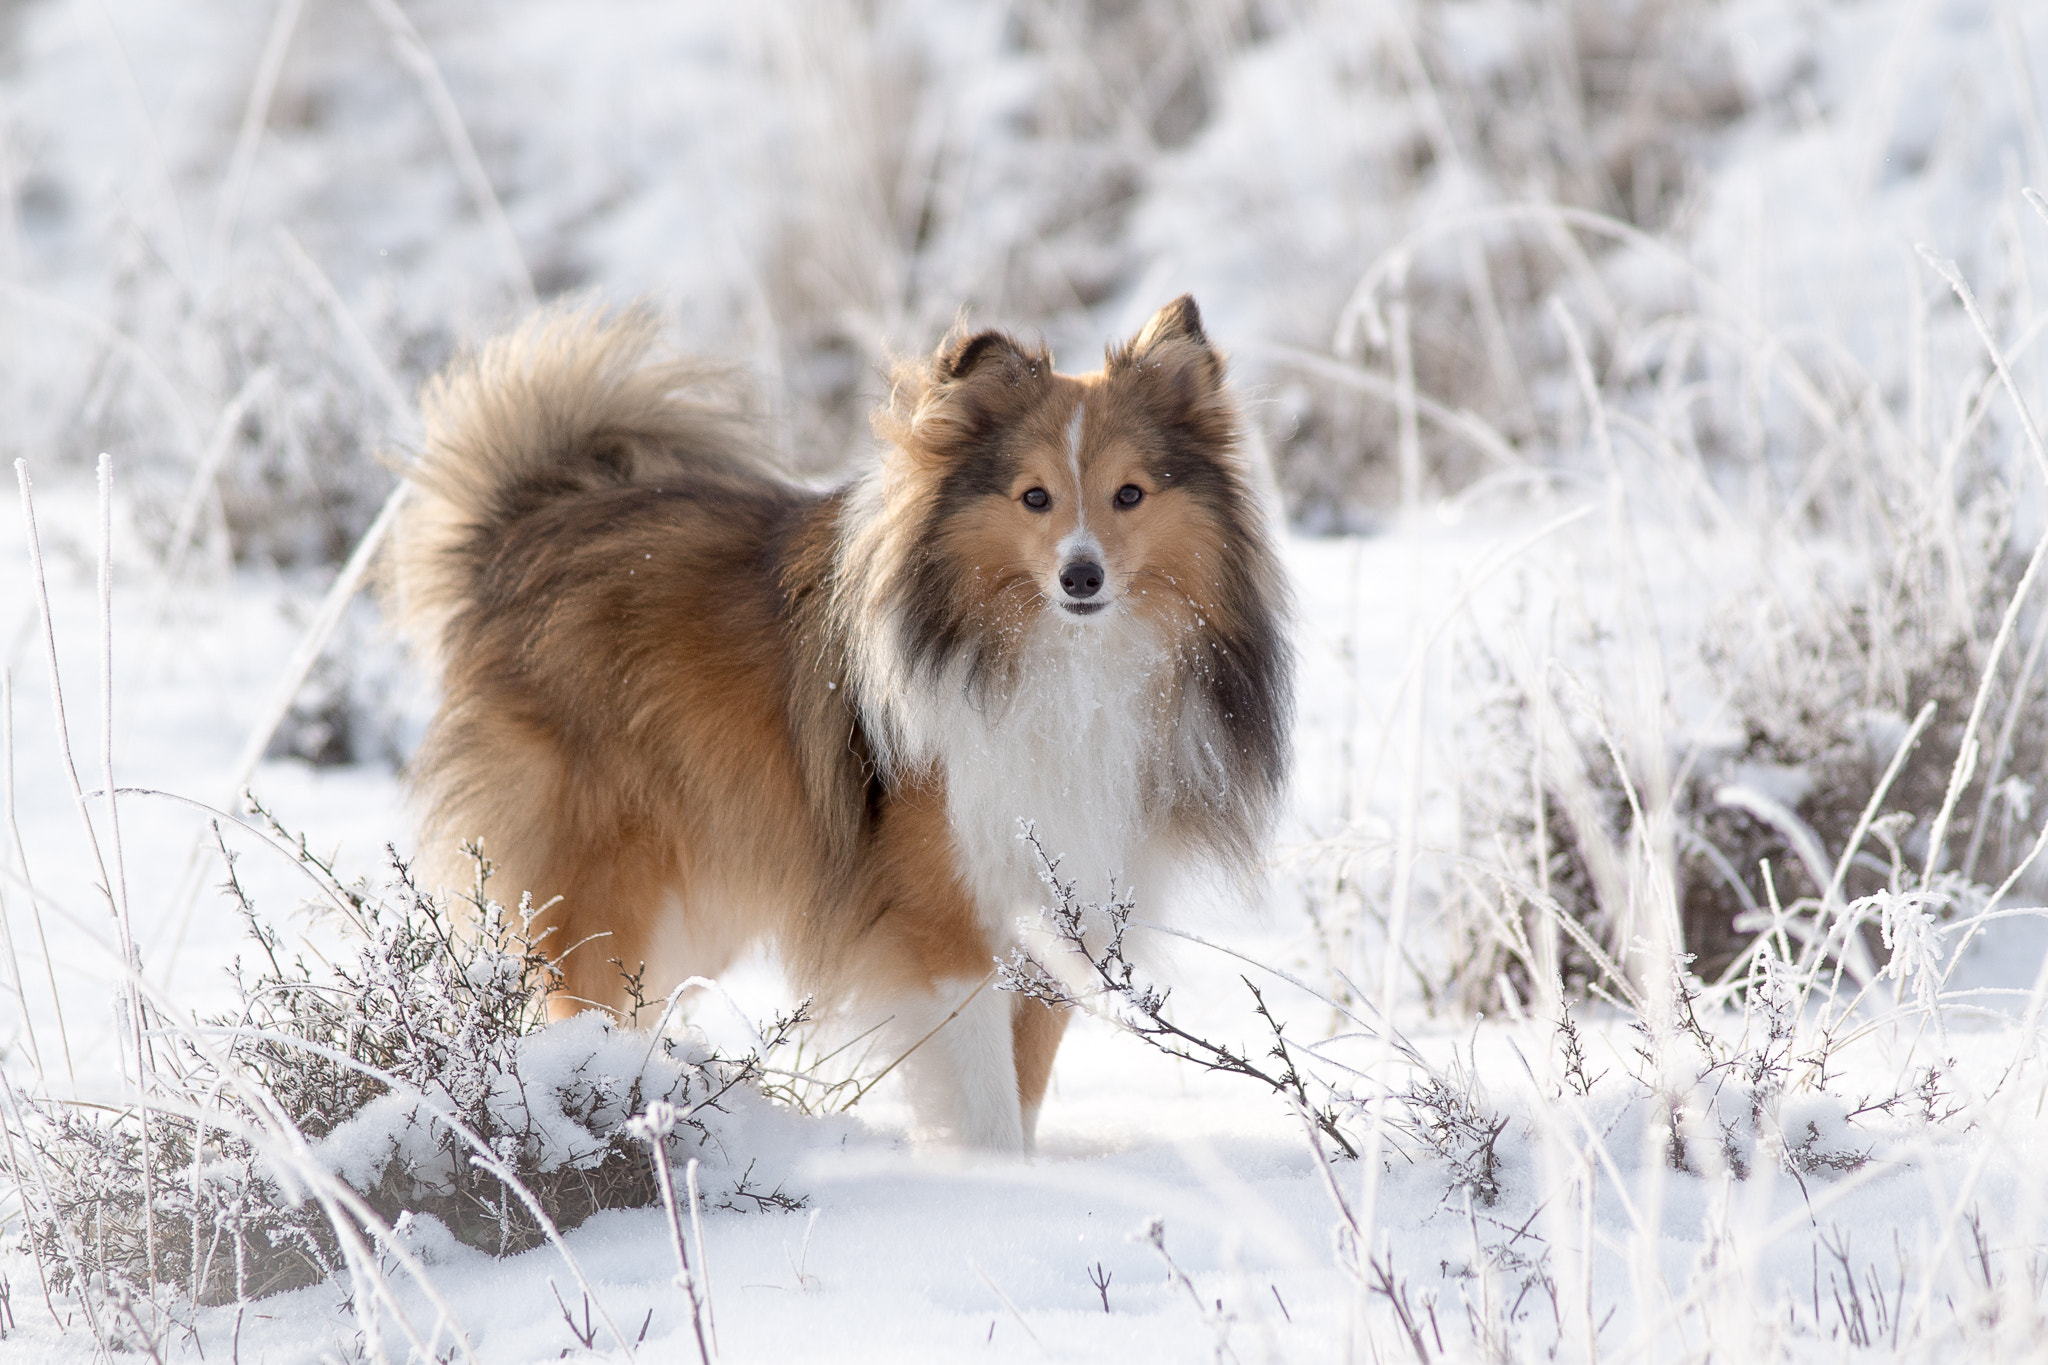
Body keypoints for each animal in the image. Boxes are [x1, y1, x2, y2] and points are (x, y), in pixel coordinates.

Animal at [395, 298, 1294, 1154]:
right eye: (1034, 495)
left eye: (1130, 493)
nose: (1082, 575)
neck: (1064, 666)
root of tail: (529, 523)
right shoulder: (943, 915)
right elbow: (987, 1101)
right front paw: (998, 1187)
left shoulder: (1067, 904)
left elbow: (1027, 1084)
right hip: (609, 876)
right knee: (581, 1005)